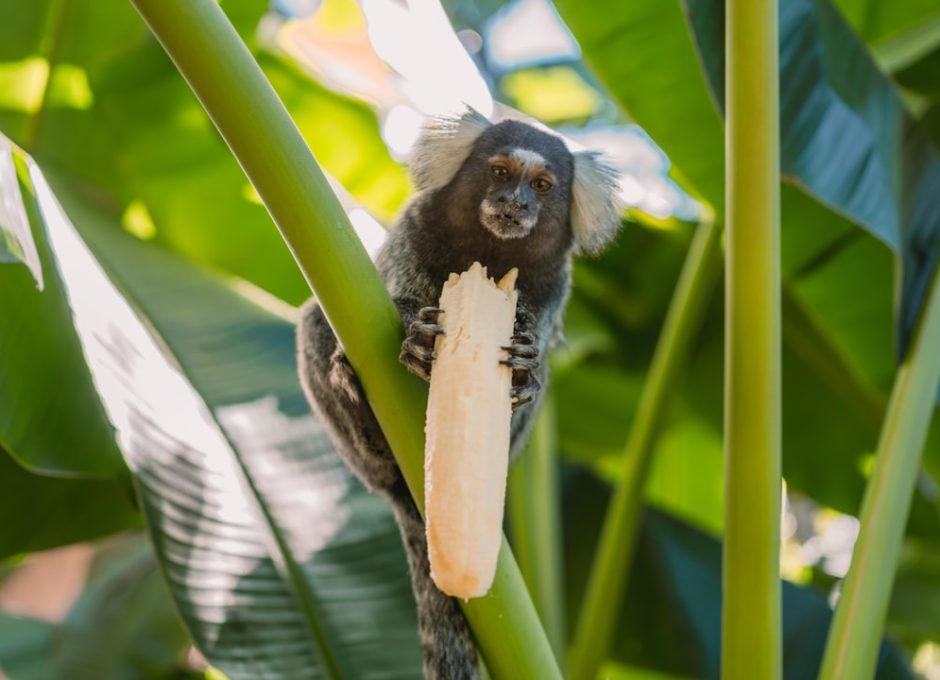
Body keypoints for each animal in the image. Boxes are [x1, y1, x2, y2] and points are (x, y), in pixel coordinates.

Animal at [300, 109, 624, 676]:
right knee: (317, 322)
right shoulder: (415, 231)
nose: (515, 202)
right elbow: (395, 293)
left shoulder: (553, 285)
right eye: (500, 173)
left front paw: (524, 365)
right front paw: (415, 336)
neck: (487, 254)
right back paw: (360, 409)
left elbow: (537, 351)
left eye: (542, 186)